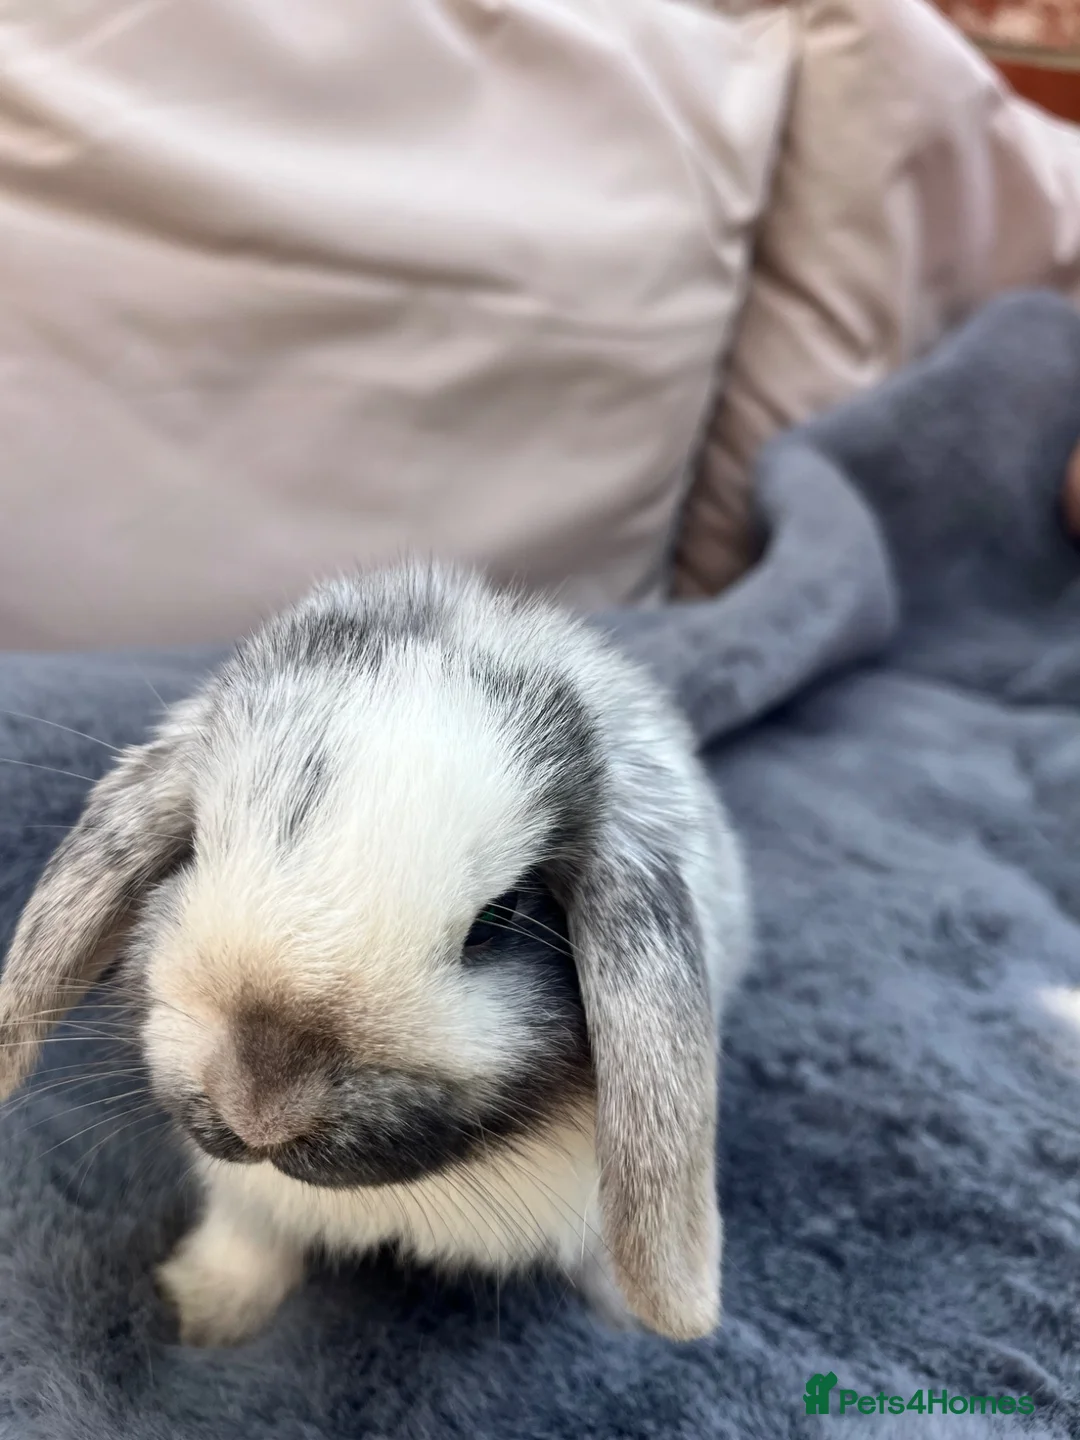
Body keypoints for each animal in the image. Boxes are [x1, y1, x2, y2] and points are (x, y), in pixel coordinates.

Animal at [0, 561, 750, 1346]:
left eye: (500, 916)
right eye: (196, 849)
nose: (260, 1109)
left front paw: (628, 1326)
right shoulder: (247, 1198)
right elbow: (249, 1236)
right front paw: (206, 1315)